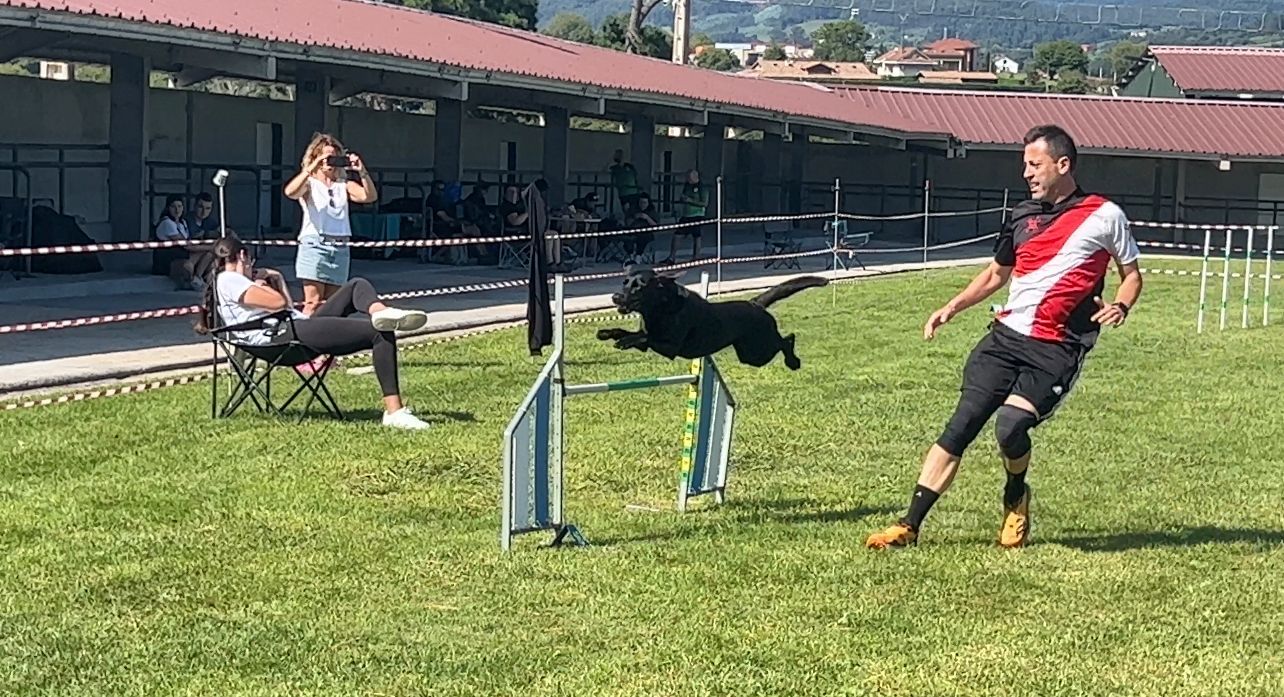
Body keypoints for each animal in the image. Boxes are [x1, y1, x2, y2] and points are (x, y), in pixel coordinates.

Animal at [595, 268, 826, 369]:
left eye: (639, 286)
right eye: (625, 282)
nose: (615, 297)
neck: (660, 307)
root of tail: (755, 303)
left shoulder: (670, 347)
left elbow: (644, 337)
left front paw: (623, 341)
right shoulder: (646, 340)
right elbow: (634, 334)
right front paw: (606, 333)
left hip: (758, 350)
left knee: (787, 339)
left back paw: (793, 362)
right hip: (749, 354)